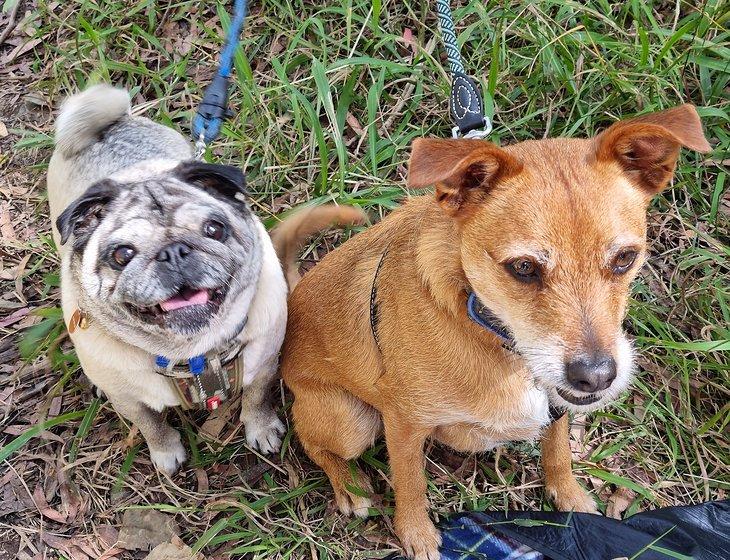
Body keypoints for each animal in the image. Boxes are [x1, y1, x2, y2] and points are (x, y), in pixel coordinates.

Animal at [278, 104, 704, 556]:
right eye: (524, 267)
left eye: (625, 258)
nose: (596, 377)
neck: (490, 330)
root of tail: (292, 300)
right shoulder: (404, 421)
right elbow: (410, 484)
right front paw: (416, 534)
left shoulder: (555, 406)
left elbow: (557, 451)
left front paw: (569, 496)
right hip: (351, 422)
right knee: (312, 442)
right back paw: (349, 486)